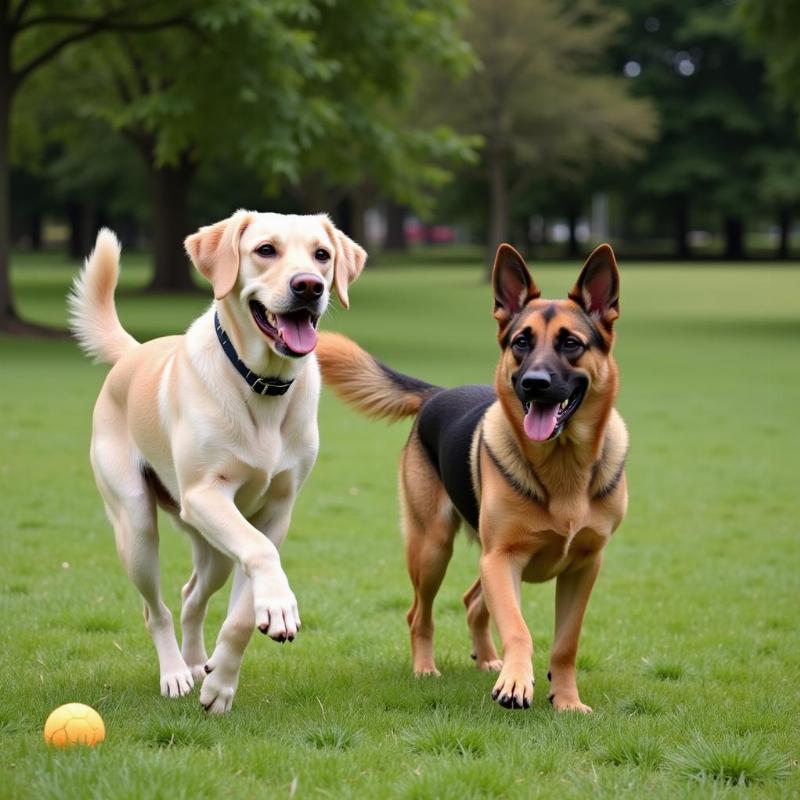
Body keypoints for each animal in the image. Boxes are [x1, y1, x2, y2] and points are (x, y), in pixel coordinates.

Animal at [316, 244, 628, 712]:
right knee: (419, 613)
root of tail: (438, 393)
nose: (534, 383)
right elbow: (519, 628)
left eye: (571, 343)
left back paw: (486, 659)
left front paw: (567, 700)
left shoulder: (584, 567)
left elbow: (565, 644)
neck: (563, 467)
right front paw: (517, 682)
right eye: (521, 342)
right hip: (432, 548)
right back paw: (426, 669)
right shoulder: (501, 559)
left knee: (471, 601)